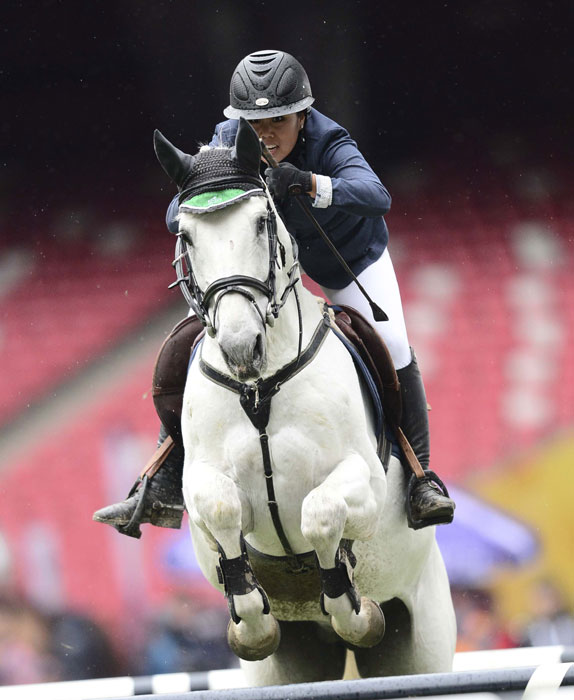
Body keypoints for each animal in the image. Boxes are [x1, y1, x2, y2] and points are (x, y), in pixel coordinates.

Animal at [153, 119, 460, 684]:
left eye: (262, 222)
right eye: (186, 236)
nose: (240, 347)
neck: (260, 388)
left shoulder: (363, 482)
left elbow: (320, 515)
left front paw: (356, 615)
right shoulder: (203, 482)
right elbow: (221, 507)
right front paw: (253, 625)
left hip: (422, 642)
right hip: (293, 662)